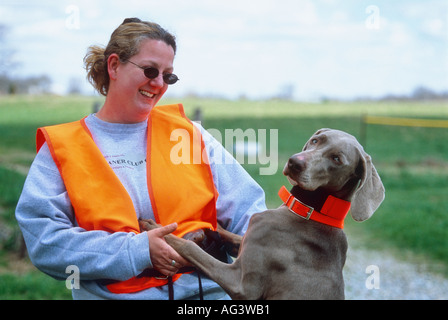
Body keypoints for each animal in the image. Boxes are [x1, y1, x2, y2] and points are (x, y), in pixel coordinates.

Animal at [144, 128, 384, 300]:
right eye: (317, 140)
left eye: (337, 159)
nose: (294, 162)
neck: (309, 211)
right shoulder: (247, 239)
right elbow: (230, 236)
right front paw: (211, 227)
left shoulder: (241, 284)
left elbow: (190, 248)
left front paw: (155, 230)